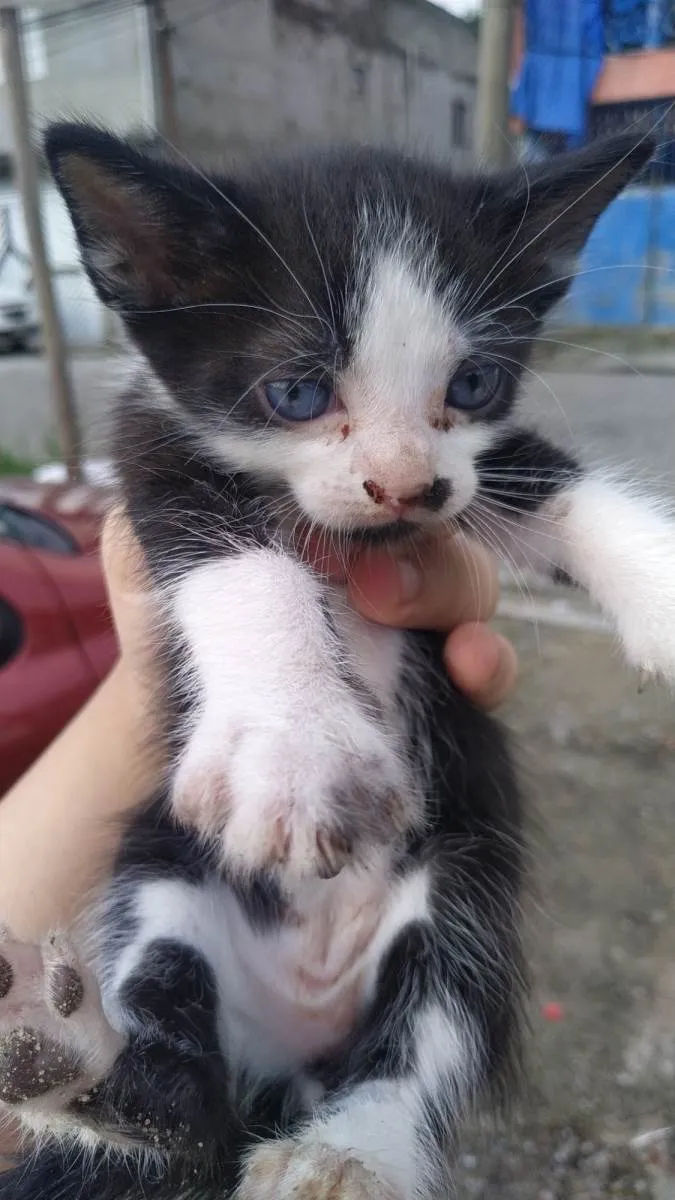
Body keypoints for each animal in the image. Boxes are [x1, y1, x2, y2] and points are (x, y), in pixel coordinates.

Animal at [0, 124, 667, 1200]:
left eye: (472, 384)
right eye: (298, 392)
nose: (408, 487)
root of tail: (290, 1056)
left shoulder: (476, 471)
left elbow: (551, 478)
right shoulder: (151, 451)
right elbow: (234, 554)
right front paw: (292, 744)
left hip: (460, 890)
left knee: (429, 1028)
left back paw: (348, 1154)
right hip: (162, 874)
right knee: (187, 1117)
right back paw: (72, 1062)